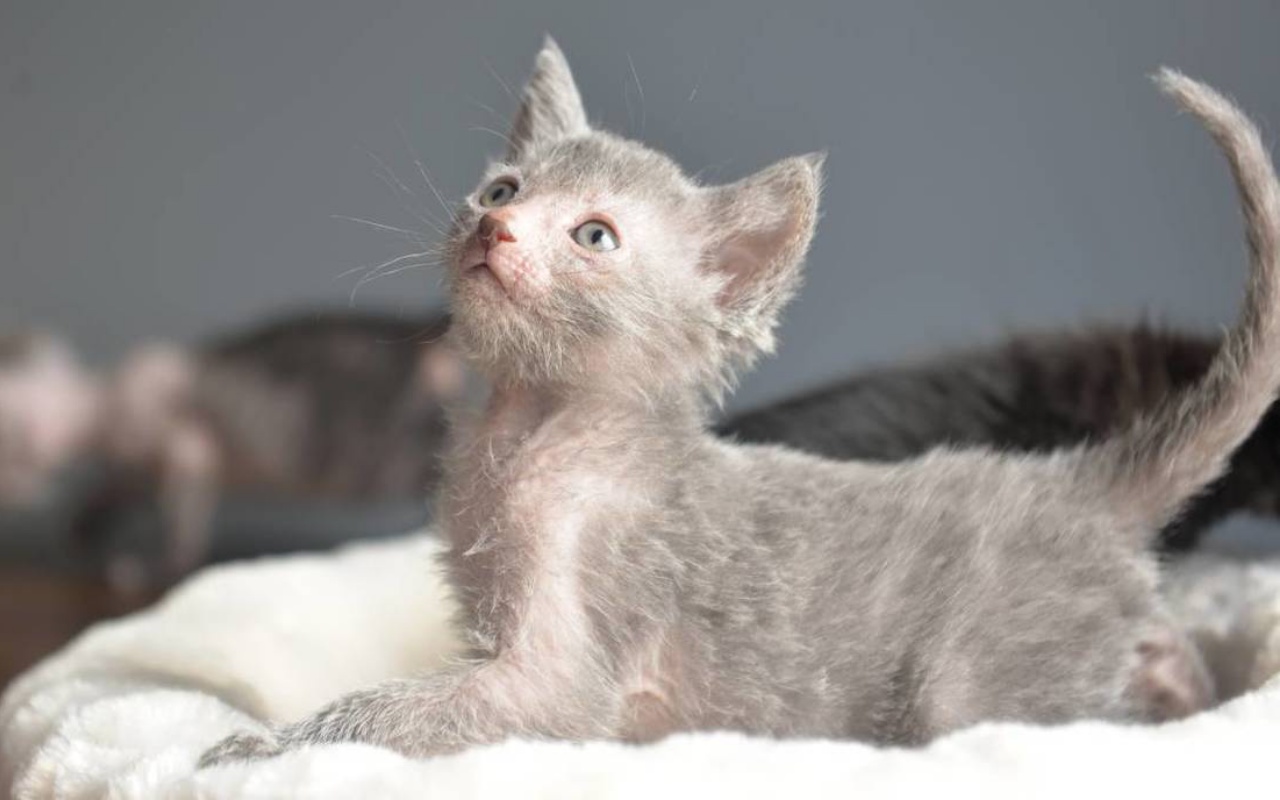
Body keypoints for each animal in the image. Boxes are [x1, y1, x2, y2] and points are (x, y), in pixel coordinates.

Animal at [0, 311, 460, 581]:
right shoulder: (137, 466)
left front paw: (157, 564)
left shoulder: (176, 440)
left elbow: (184, 509)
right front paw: (83, 535)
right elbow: (113, 490)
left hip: (380, 454)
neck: (99, 395)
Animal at [199, 40, 1280, 762]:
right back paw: (1181, 679)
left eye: (594, 236)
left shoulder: (555, 678)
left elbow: (400, 711)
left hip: (969, 685)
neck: (530, 434)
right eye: (501, 188)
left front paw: (266, 748)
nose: (495, 230)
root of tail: (1072, 480)